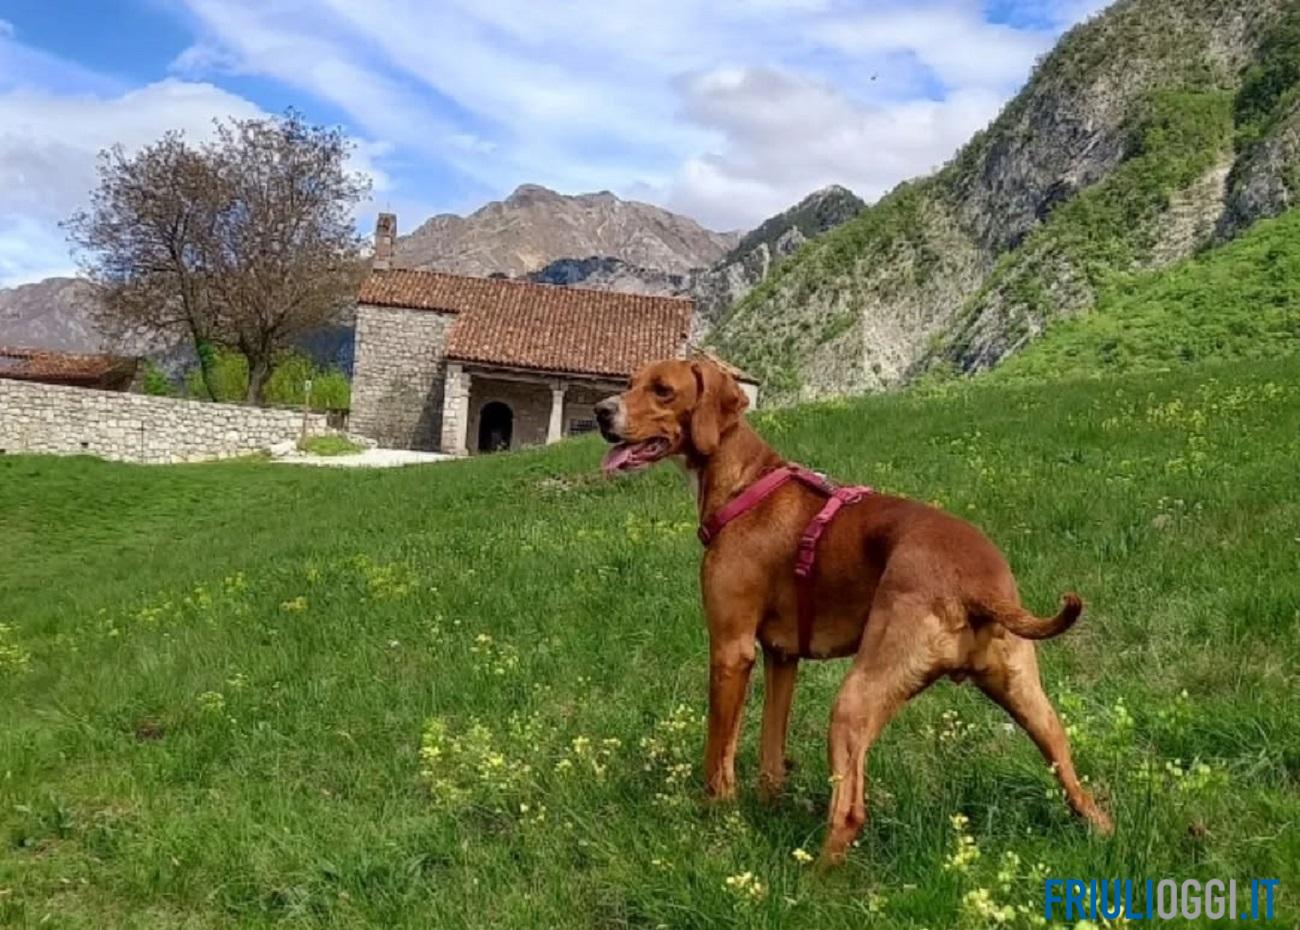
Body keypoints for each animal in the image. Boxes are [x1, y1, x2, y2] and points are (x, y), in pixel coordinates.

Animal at [595, 358, 1113, 864]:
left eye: (662, 390)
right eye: (630, 381)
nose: (601, 412)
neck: (745, 481)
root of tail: (975, 584)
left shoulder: (731, 651)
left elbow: (717, 753)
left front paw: (716, 818)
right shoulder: (782, 657)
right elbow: (770, 750)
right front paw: (766, 804)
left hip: (854, 700)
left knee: (849, 812)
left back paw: (811, 882)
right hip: (1030, 702)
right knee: (1077, 785)